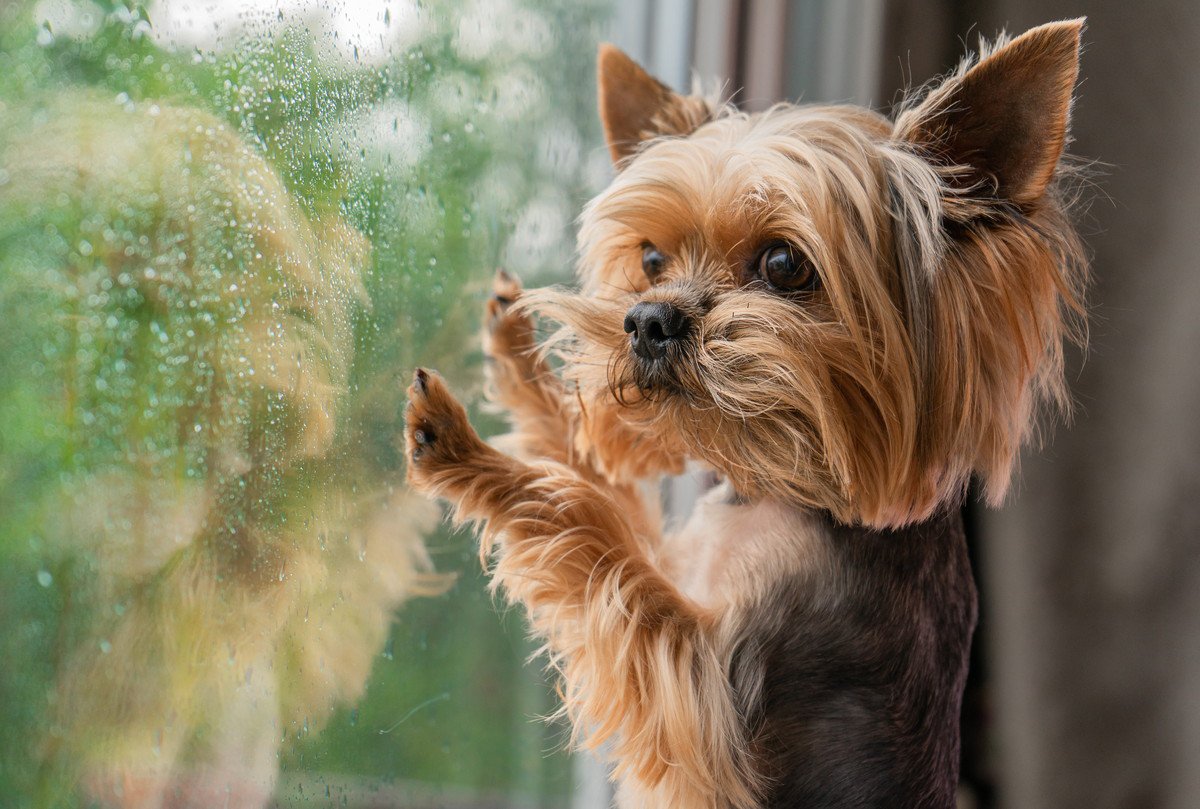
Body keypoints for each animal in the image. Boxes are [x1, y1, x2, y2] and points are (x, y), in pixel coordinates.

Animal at [403, 18, 1089, 806]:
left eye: (784, 265)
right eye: (651, 259)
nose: (646, 320)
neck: (779, 494)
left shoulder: (709, 692)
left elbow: (588, 526)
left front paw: (467, 452)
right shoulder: (676, 567)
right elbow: (606, 496)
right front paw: (518, 360)